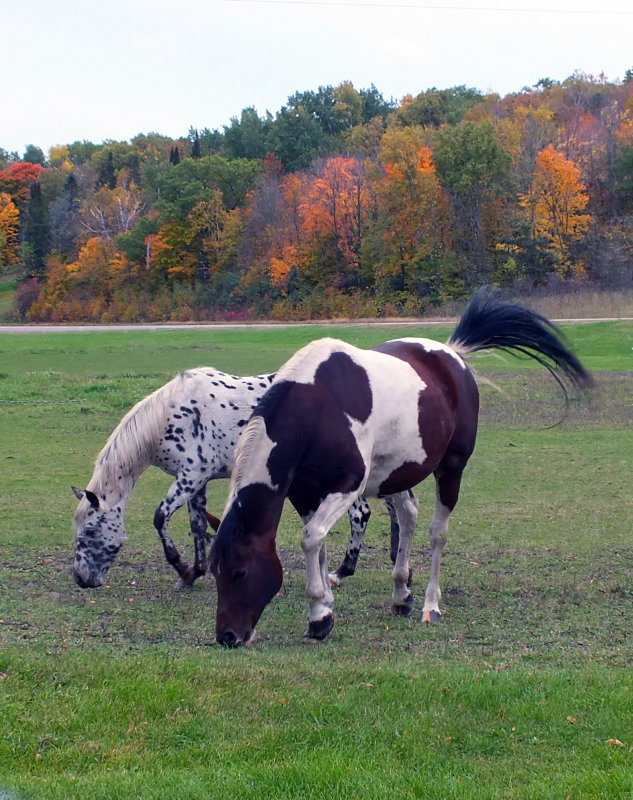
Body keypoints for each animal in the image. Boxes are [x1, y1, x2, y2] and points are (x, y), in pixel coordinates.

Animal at [69, 368, 386, 588]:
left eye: (88, 531)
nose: (81, 578)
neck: (170, 416)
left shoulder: (189, 477)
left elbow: (160, 518)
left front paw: (181, 566)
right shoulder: (197, 483)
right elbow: (197, 526)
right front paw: (194, 571)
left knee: (360, 514)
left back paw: (341, 572)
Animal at [210, 290, 592, 648]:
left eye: (240, 572)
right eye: (214, 570)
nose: (227, 636)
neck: (317, 407)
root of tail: (452, 353)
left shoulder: (347, 485)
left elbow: (311, 539)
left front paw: (319, 615)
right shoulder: (305, 492)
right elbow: (316, 542)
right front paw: (326, 606)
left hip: (451, 468)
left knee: (437, 533)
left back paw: (430, 605)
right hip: (394, 474)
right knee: (408, 516)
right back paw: (400, 593)